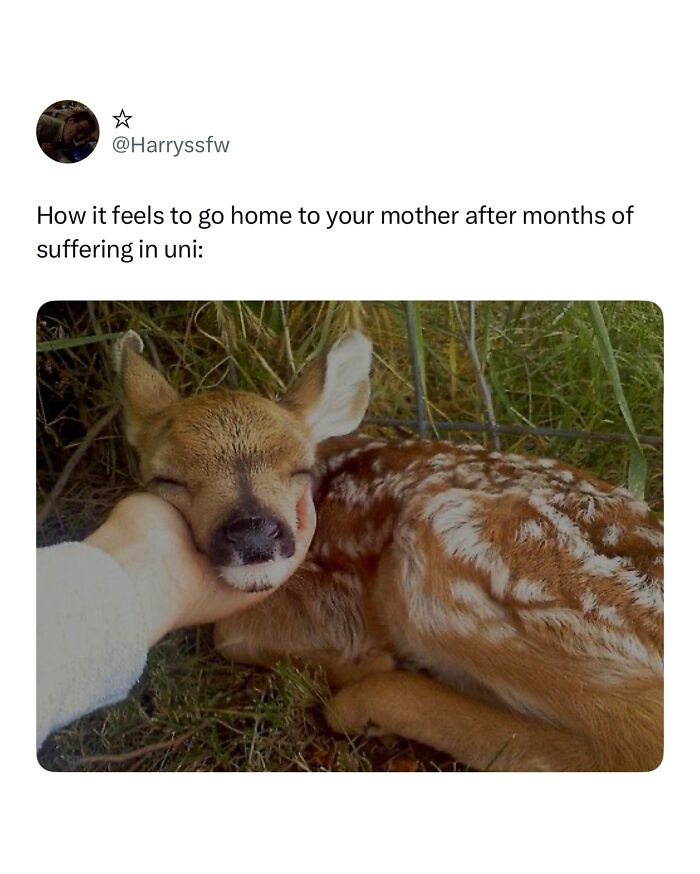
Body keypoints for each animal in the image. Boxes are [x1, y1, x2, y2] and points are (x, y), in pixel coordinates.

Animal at [116, 328, 663, 771]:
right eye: (167, 479)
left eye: (298, 467)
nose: (254, 533)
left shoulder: (338, 601)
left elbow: (230, 635)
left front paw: (360, 662)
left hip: (454, 544)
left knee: (631, 744)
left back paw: (368, 700)